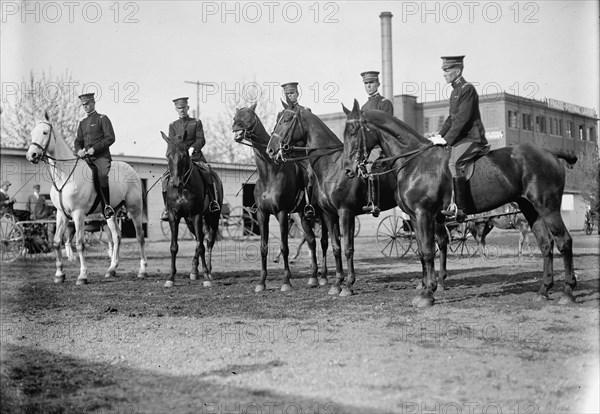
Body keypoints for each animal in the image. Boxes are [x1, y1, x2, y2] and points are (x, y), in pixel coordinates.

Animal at [25, 111, 148, 284]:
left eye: (44, 132)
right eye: (31, 133)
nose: (31, 155)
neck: (65, 175)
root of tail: (132, 170)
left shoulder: (78, 214)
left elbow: (80, 244)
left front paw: (82, 275)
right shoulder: (62, 214)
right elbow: (56, 242)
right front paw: (59, 274)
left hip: (134, 209)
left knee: (140, 237)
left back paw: (142, 270)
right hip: (111, 213)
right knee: (116, 237)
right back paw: (111, 269)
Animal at [162, 132, 223, 288]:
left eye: (184, 155)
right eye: (167, 155)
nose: (176, 183)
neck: (183, 188)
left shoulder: (196, 215)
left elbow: (201, 245)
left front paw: (206, 277)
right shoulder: (174, 216)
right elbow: (174, 246)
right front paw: (170, 277)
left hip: (212, 217)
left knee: (208, 242)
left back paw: (209, 271)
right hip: (189, 221)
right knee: (198, 238)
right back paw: (194, 271)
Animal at [233, 103, 328, 292]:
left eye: (249, 116)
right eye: (235, 117)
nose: (235, 127)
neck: (270, 172)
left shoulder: (282, 213)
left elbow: (285, 247)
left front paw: (286, 282)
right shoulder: (262, 214)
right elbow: (263, 247)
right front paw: (261, 282)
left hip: (321, 214)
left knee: (324, 241)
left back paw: (323, 277)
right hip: (302, 216)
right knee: (311, 240)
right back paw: (313, 277)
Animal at [340, 100, 580, 308]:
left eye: (353, 132)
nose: (349, 170)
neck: (414, 161)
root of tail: (550, 153)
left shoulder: (424, 214)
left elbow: (429, 251)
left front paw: (428, 294)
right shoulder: (417, 219)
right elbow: (422, 252)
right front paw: (426, 288)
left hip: (548, 208)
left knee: (564, 242)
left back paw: (568, 292)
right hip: (531, 210)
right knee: (546, 245)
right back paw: (544, 290)